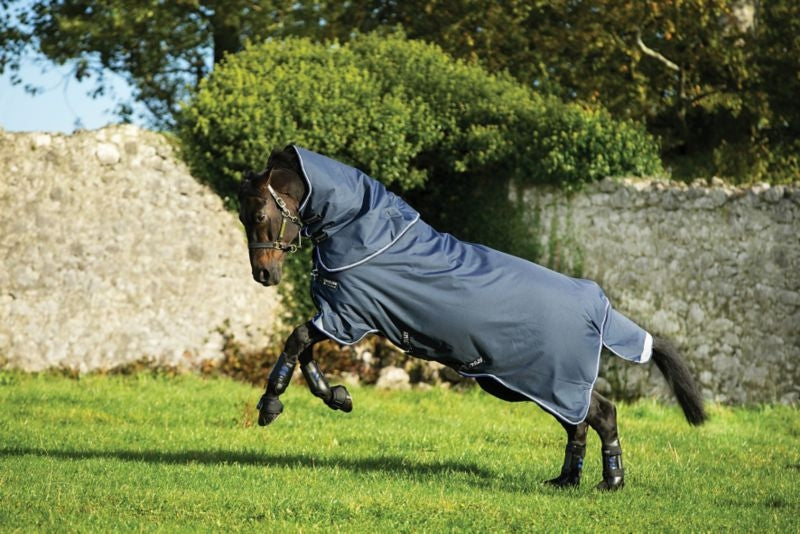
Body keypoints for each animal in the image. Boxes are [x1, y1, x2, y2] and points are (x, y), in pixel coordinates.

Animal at [238, 145, 707, 491]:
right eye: (243, 217)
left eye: (259, 215)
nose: (263, 275)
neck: (367, 235)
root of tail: (598, 306)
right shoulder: (340, 317)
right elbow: (305, 351)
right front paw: (337, 396)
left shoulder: (348, 316)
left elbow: (296, 340)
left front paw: (270, 405)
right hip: (532, 384)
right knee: (577, 424)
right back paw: (565, 480)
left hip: (545, 380)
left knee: (603, 414)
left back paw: (611, 482)